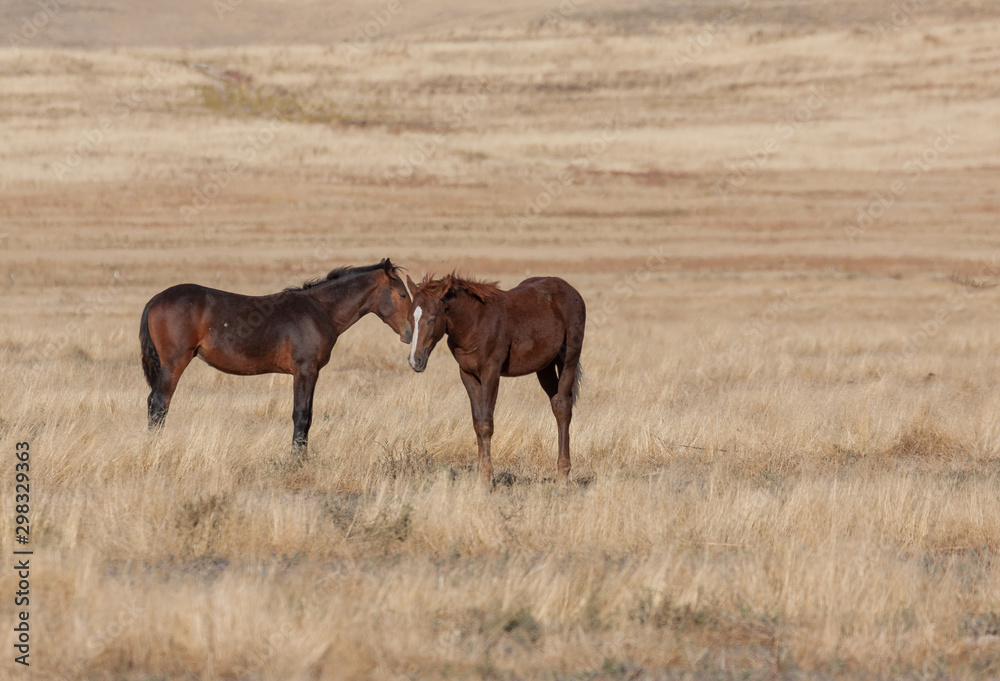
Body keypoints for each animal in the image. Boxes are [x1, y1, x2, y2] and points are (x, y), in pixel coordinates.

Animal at [139, 258, 412, 461]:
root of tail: (155, 299)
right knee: (159, 404)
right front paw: (296, 462)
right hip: (175, 363)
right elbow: (301, 415)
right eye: (402, 294)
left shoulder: (310, 373)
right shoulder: (305, 371)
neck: (320, 310)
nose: (410, 333)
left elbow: (308, 416)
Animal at [405, 273, 585, 486]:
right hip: (545, 367)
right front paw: (481, 476)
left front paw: (485, 478)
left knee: (564, 407)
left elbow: (486, 423)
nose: (415, 360)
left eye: (432, 318)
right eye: (410, 317)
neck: (475, 323)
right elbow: (477, 423)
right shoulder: (467, 374)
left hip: (568, 359)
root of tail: (571, 290)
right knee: (557, 404)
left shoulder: (491, 372)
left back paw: (563, 476)